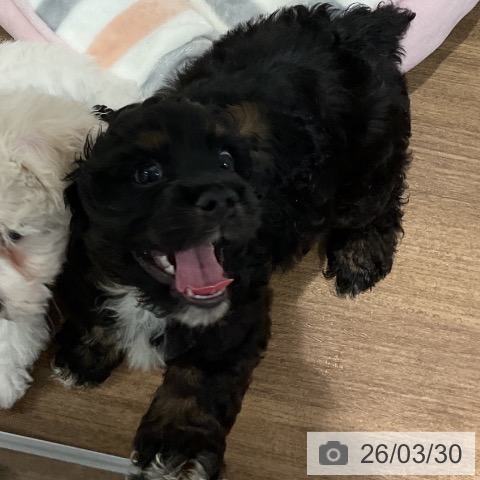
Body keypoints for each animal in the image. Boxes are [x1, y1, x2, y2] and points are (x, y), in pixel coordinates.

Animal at [54, 4, 414, 479]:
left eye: (226, 161)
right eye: (148, 173)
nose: (223, 197)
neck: (151, 294)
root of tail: (361, 27)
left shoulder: (237, 309)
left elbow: (199, 376)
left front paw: (176, 447)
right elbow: (94, 307)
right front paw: (83, 354)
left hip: (366, 165)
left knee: (382, 198)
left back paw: (360, 254)